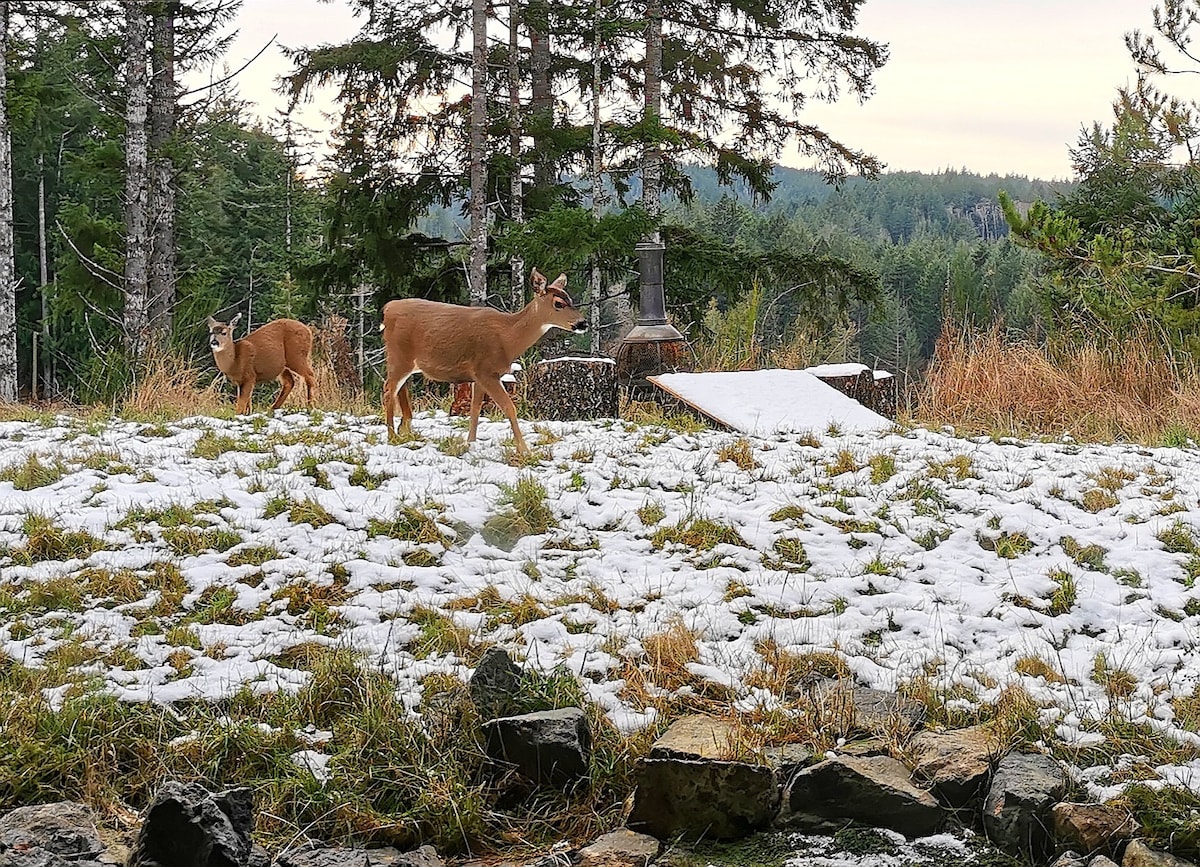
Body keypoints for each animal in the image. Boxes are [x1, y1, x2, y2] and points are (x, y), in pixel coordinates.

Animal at [381, 266, 588, 451]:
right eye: (558, 303)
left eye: (570, 299)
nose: (583, 323)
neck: (508, 338)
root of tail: (387, 309)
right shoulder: (486, 371)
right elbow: (509, 407)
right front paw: (524, 449)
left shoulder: (477, 375)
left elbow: (475, 408)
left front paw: (470, 443)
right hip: (399, 355)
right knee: (388, 390)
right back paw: (392, 437)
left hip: (407, 362)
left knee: (398, 388)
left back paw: (403, 429)